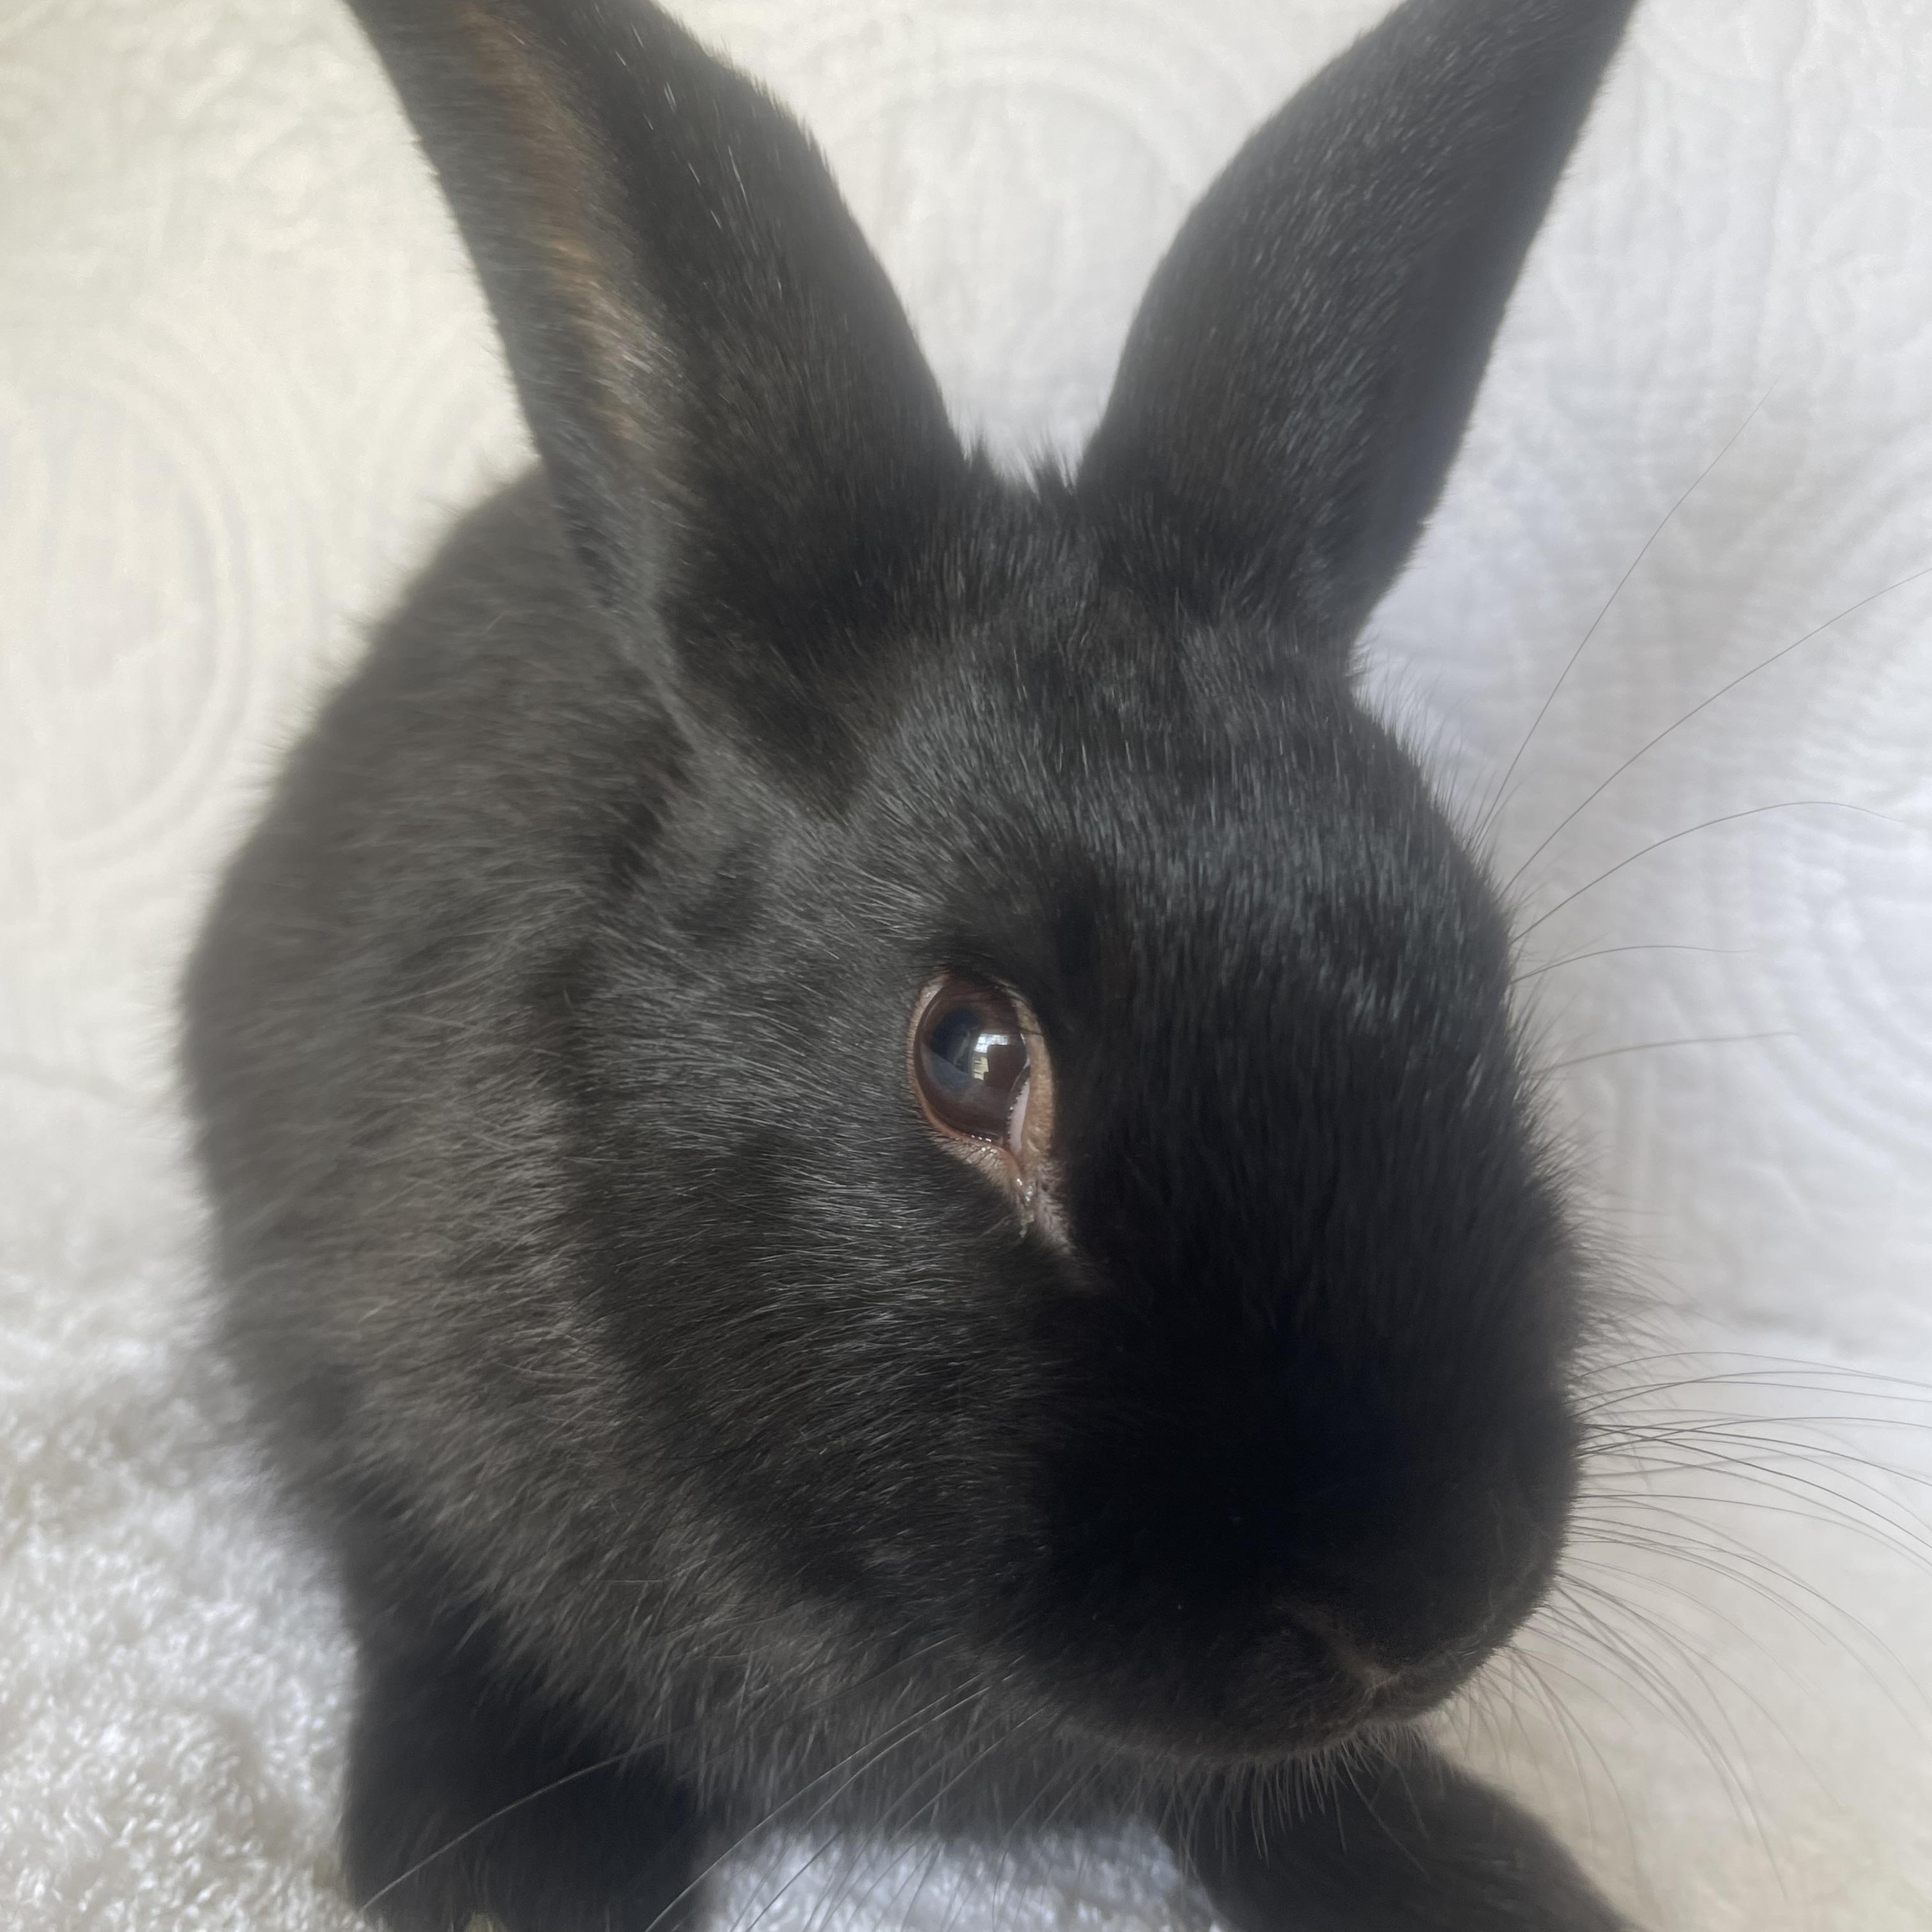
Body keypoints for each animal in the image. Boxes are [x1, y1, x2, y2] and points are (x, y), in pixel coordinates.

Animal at [182, 0, 1644, 1927]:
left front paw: (1475, 1875)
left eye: (1474, 948)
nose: (1426, 1606)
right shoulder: (346, 1380)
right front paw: (500, 1864)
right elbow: (429, 1591)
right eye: (967, 1056)